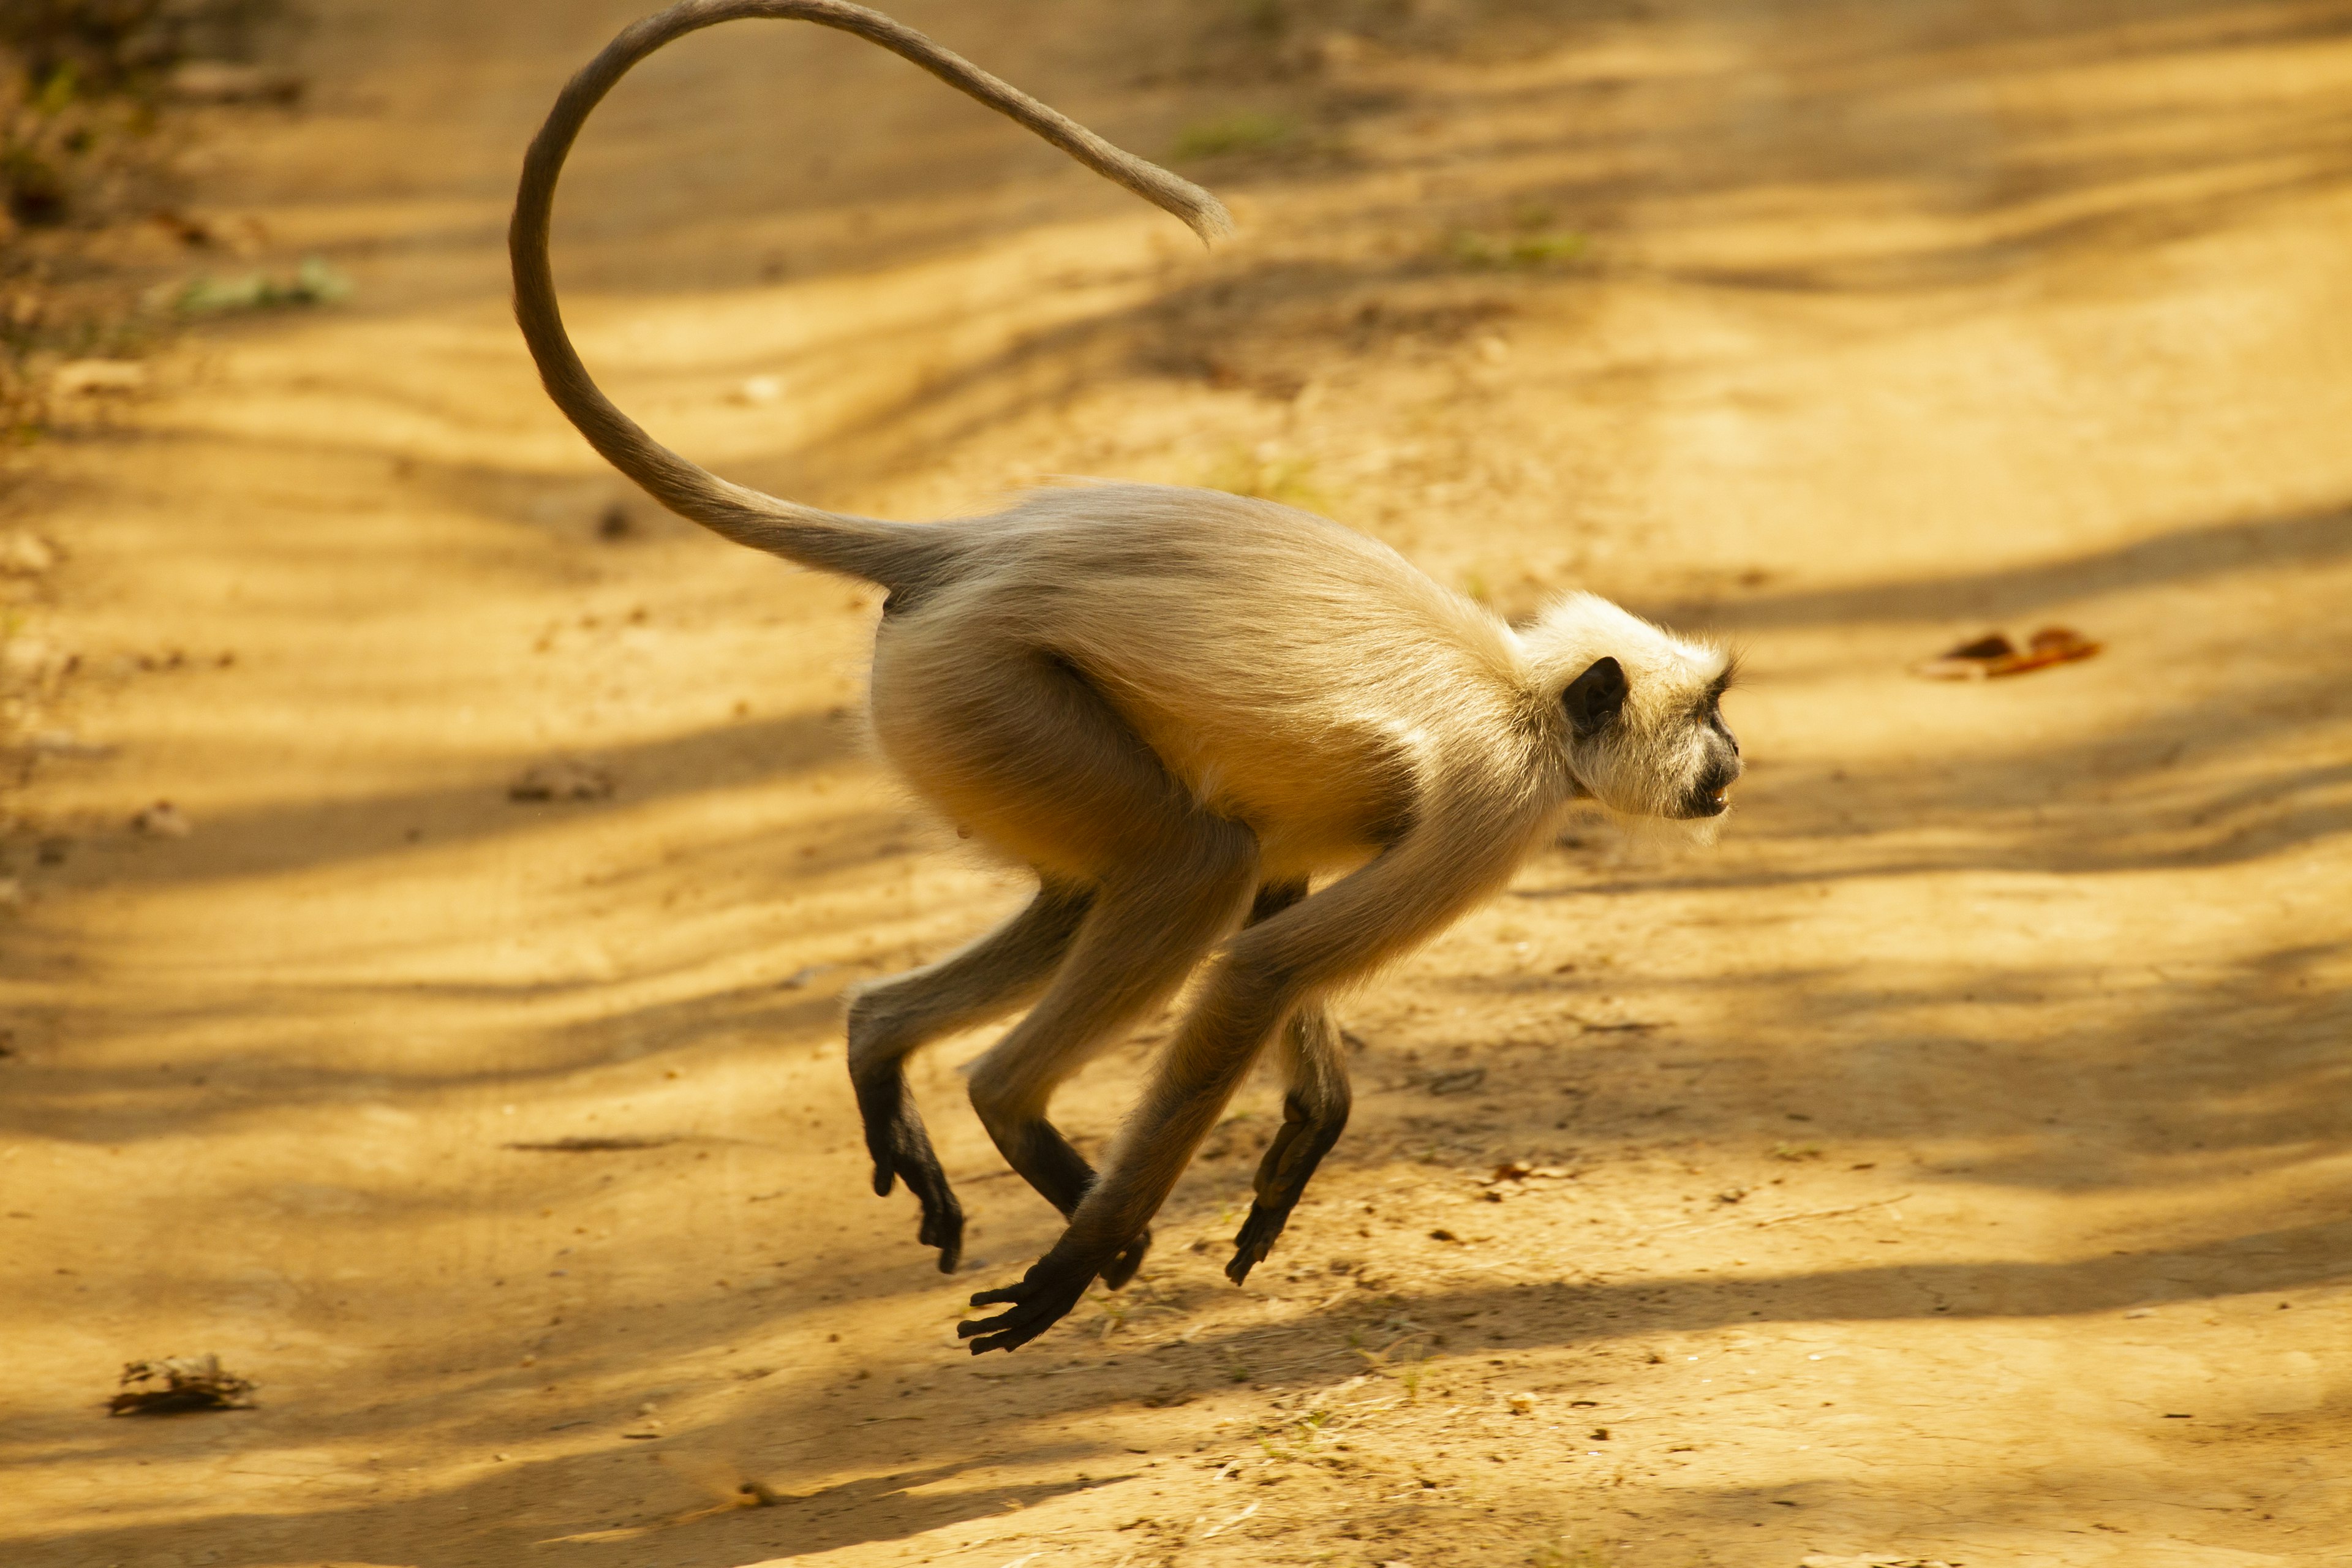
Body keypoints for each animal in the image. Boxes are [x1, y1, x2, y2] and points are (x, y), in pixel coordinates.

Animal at [505, 0, 1740, 1354]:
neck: (1521, 694)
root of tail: (968, 546)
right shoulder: (1498, 807)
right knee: (1192, 863)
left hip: (971, 724)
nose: (1734, 762)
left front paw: (1309, 1122)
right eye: (1711, 715)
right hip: (987, 692)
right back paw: (1040, 1154)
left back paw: (885, 1045)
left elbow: (1277, 907)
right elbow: (1258, 959)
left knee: (1100, 886)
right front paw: (1102, 1234)